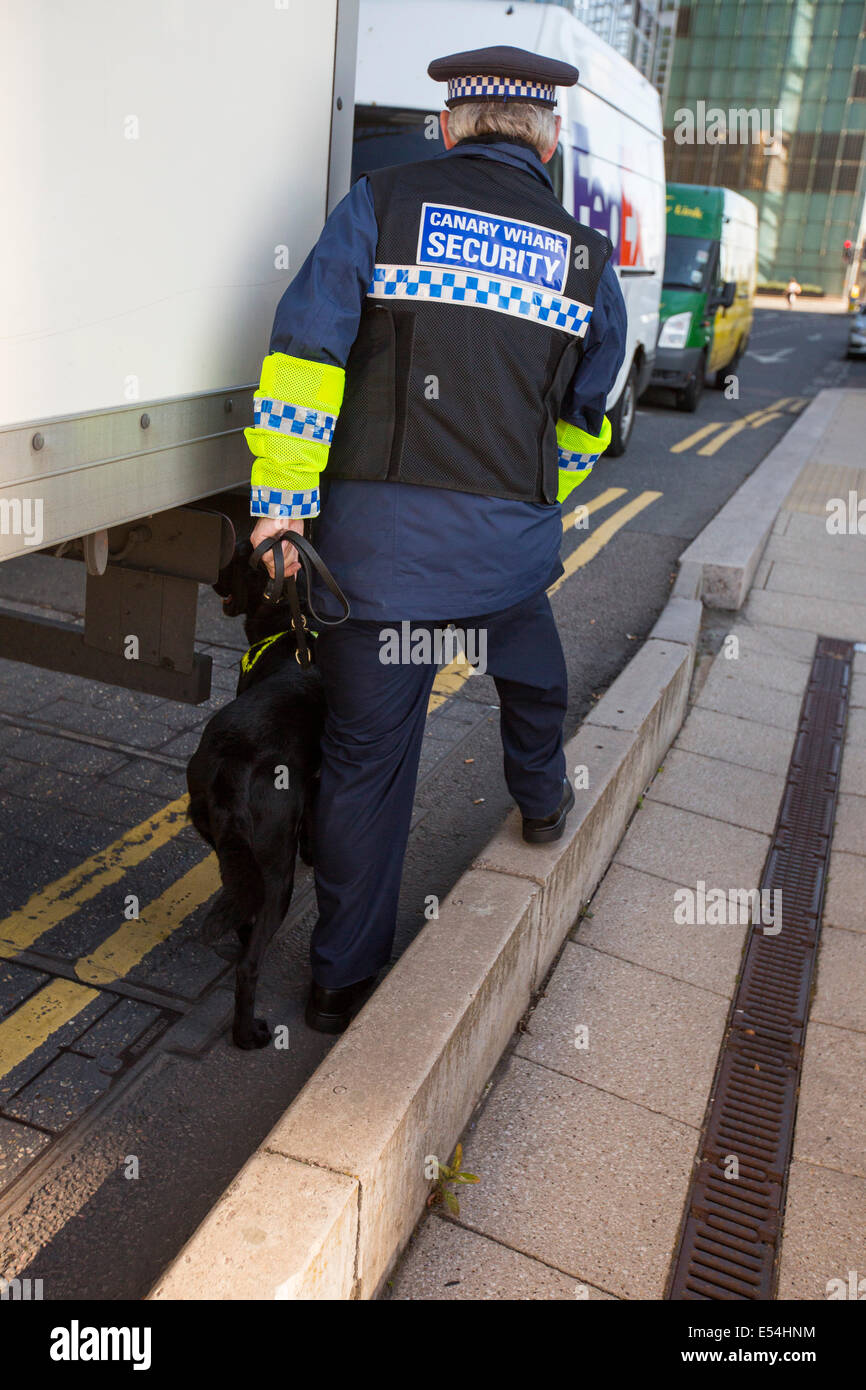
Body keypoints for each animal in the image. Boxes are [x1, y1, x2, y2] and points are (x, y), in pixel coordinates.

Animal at [187, 536, 326, 1045]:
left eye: (232, 560)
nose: (211, 578)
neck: (291, 623)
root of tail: (234, 759)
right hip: (275, 872)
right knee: (250, 965)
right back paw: (248, 1035)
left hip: (230, 847)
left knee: (241, 904)